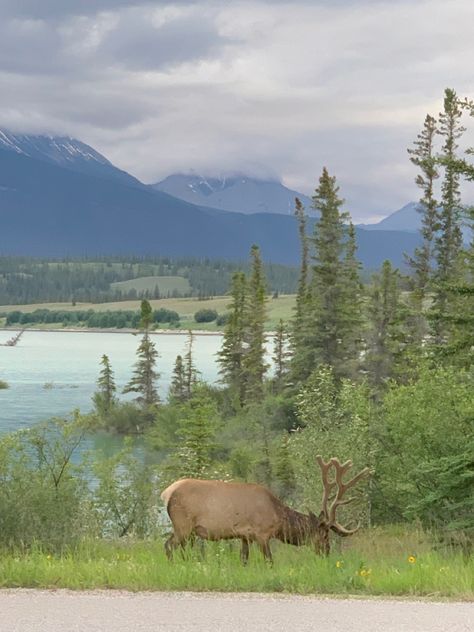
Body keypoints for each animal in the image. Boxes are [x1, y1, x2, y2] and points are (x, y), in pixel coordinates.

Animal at [161, 454, 368, 564]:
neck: (278, 518)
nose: (326, 553)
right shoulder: (262, 534)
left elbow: (244, 559)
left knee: (179, 548)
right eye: (324, 535)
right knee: (169, 545)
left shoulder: (244, 536)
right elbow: (270, 560)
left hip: (186, 531)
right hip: (183, 526)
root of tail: (166, 493)